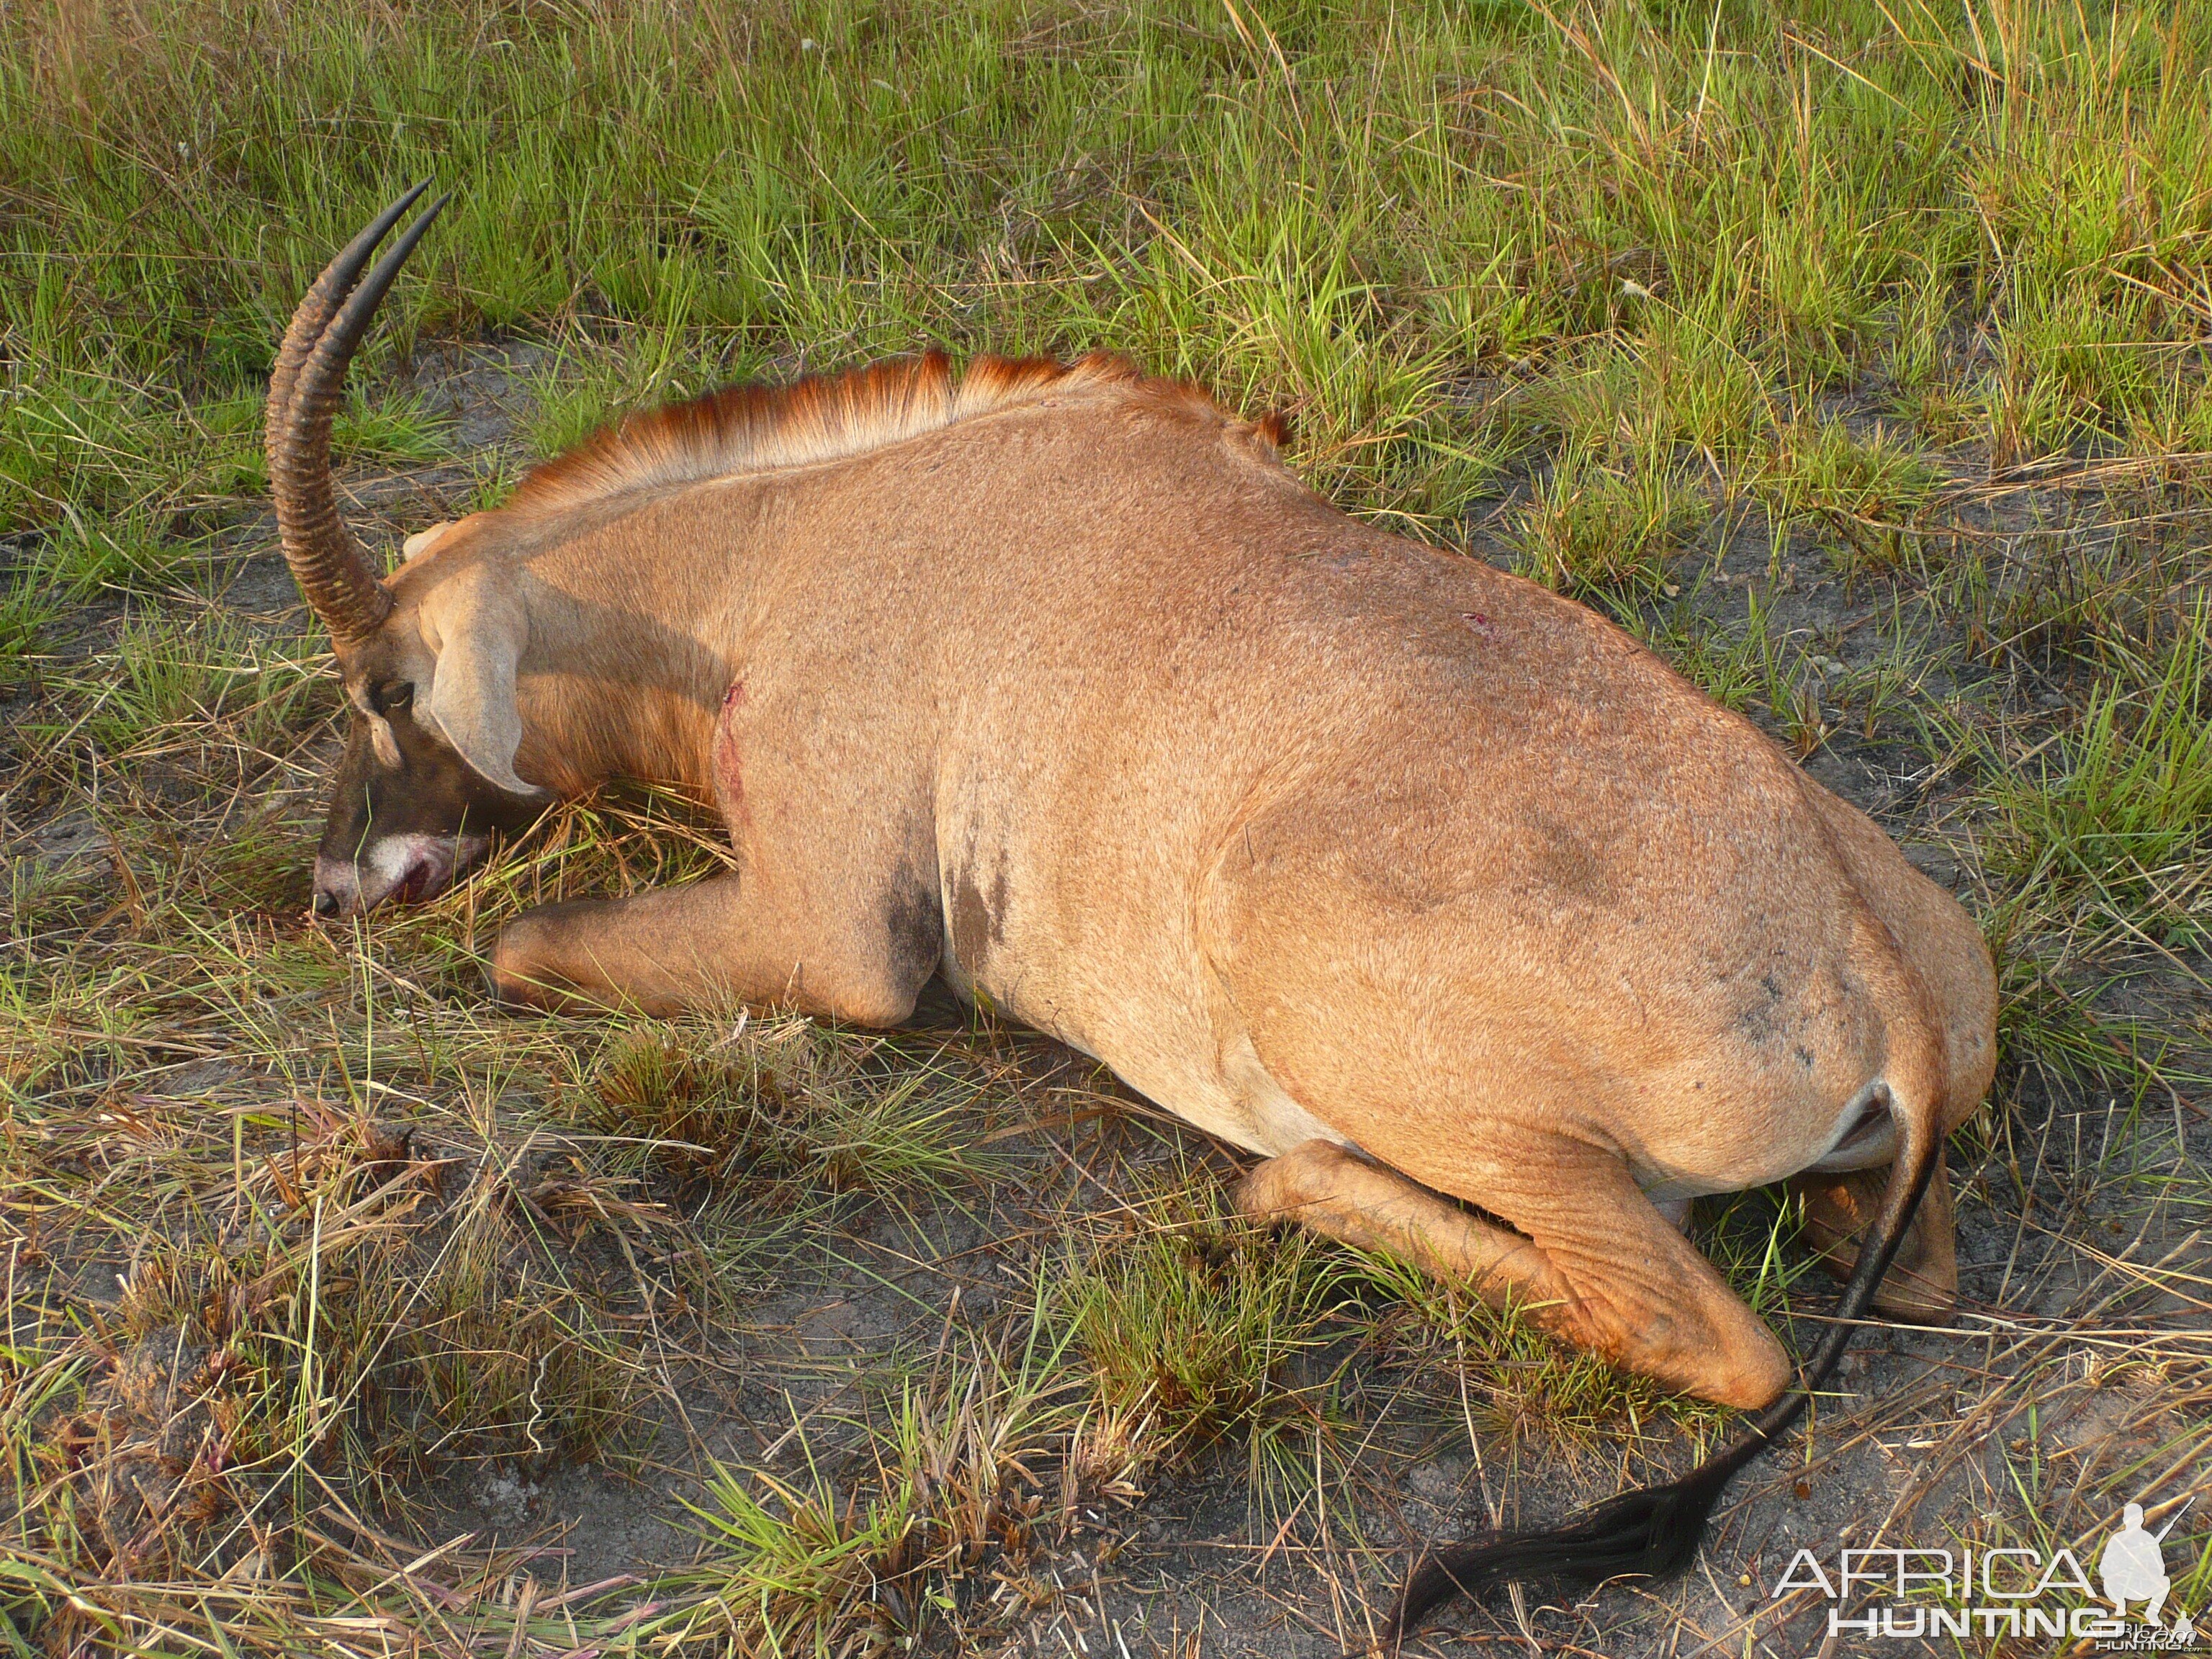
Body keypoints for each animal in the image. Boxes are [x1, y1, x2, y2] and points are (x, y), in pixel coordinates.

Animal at [267, 188, 2000, 1645]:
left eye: (384, 688)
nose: (333, 886)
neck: (776, 561)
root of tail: (1878, 983)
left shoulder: (836, 940)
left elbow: (523, 949)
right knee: (1901, 1276)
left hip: (1382, 1050)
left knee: (1704, 1333)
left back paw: (1289, 1185)